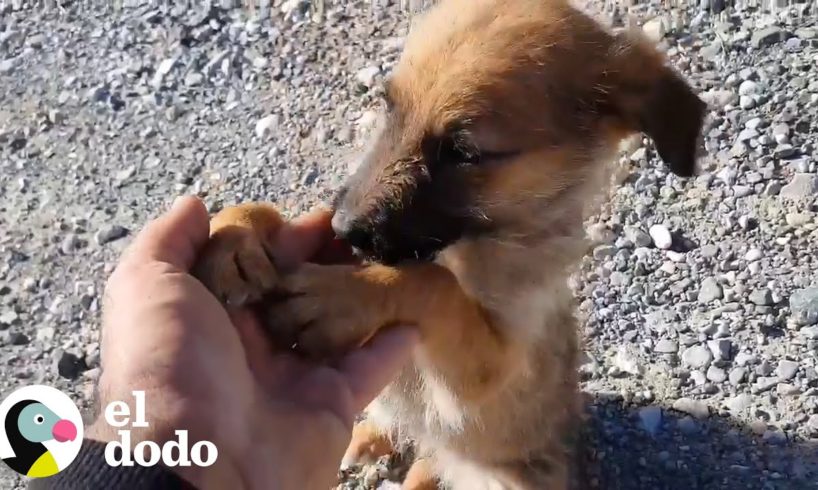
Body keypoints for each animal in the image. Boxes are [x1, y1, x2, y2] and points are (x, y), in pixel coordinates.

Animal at [190, 0, 700, 490]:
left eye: (464, 152)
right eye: (389, 107)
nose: (343, 228)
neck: (468, 242)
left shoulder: (493, 366)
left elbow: (438, 285)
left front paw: (343, 296)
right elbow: (268, 213)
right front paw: (235, 235)